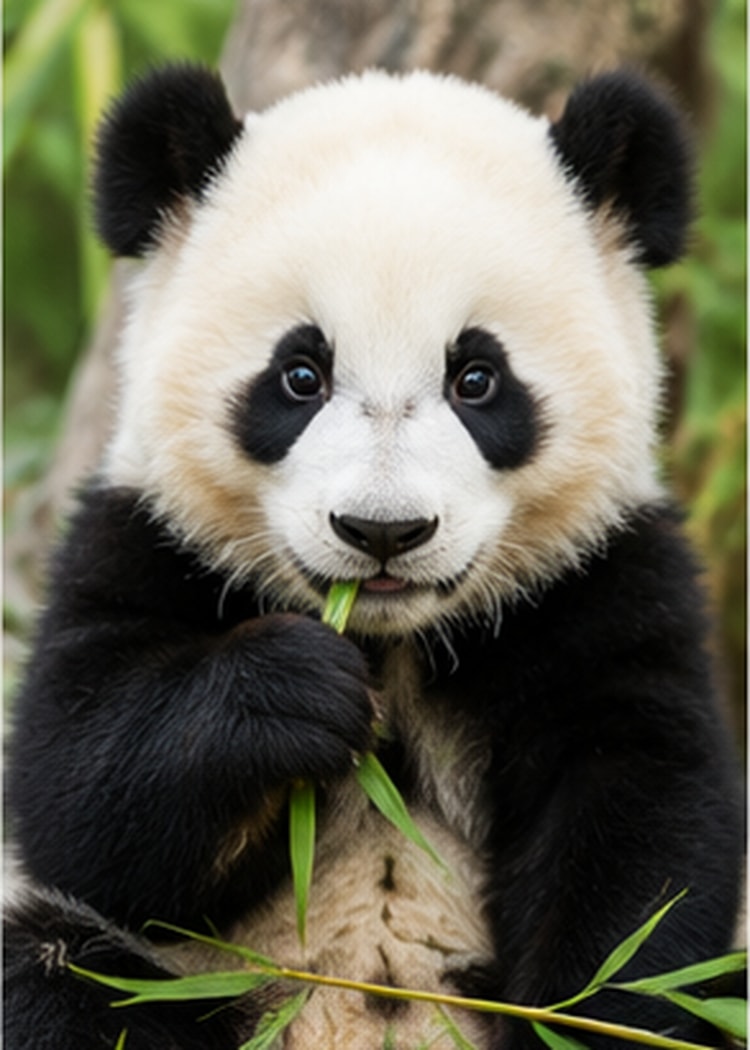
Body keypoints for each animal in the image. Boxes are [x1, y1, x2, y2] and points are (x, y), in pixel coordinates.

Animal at [4, 64, 743, 1050]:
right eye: (299, 376)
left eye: (477, 379)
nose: (383, 531)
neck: (394, 640)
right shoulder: (141, 542)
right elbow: (79, 792)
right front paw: (289, 691)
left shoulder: (603, 582)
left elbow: (643, 832)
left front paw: (587, 1017)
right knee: (55, 977)